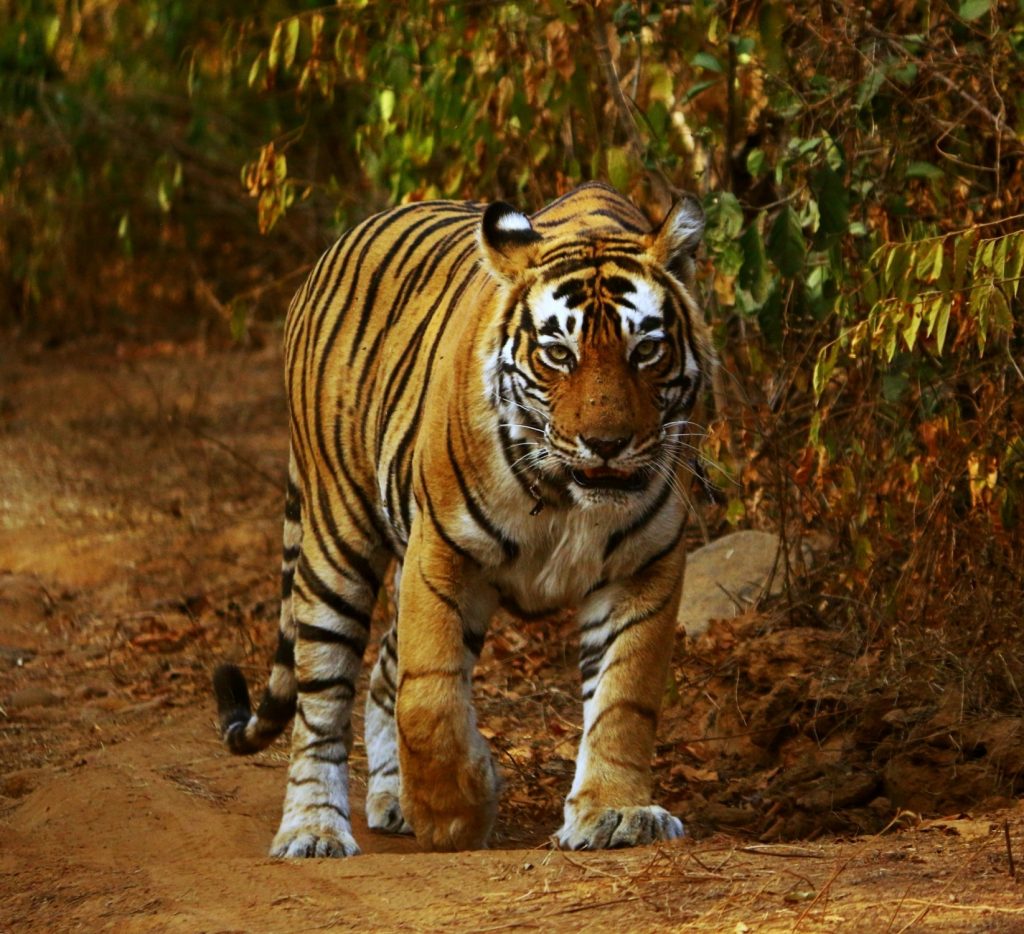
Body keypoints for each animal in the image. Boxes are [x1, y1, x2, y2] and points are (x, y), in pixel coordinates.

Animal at [213, 181, 710, 857]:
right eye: (559, 354)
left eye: (648, 350)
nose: (606, 444)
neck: (565, 497)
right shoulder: (441, 553)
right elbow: (427, 696)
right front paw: (458, 813)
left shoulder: (645, 566)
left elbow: (624, 699)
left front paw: (615, 813)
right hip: (335, 541)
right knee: (322, 700)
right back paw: (314, 828)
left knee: (380, 676)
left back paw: (394, 799)